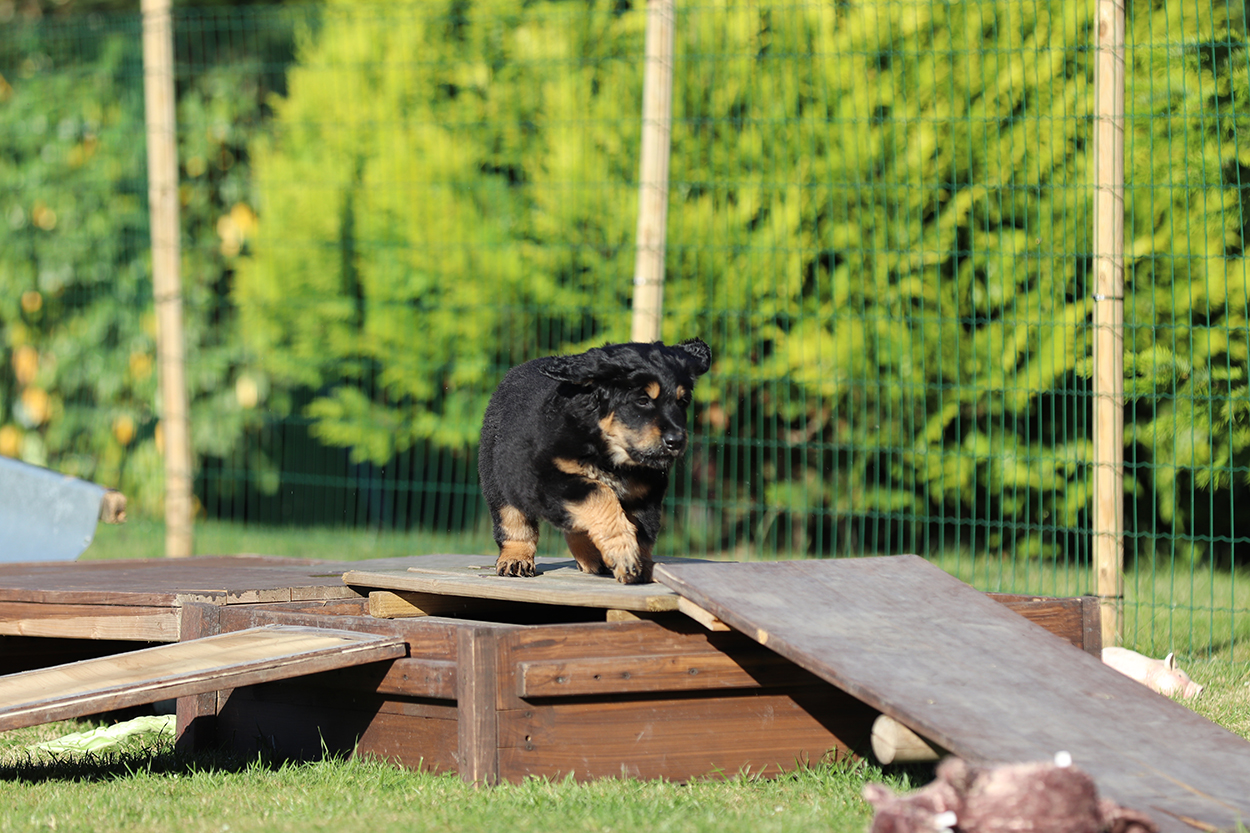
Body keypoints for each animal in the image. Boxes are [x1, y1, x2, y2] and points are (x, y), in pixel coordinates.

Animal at [478, 338, 711, 584]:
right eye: (642, 400)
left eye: (682, 402)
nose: (676, 441)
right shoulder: (545, 478)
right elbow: (600, 494)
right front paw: (624, 553)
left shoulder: (646, 494)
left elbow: (643, 530)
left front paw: (638, 563)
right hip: (498, 476)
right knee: (514, 522)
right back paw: (516, 559)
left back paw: (592, 558)